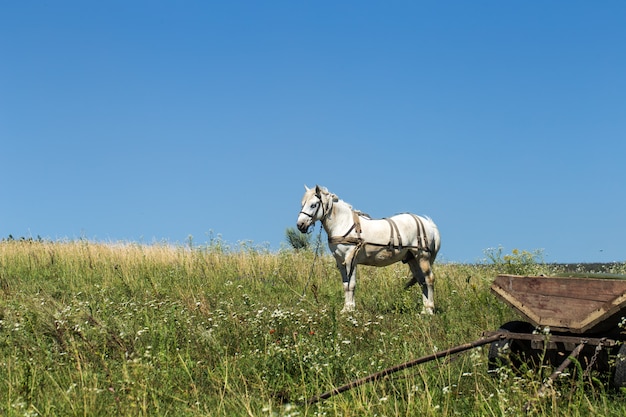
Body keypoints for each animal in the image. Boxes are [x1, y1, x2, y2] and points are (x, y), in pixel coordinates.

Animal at [296, 184, 438, 312]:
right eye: (302, 204)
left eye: (313, 205)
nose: (300, 225)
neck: (344, 223)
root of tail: (428, 223)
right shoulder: (340, 262)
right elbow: (345, 285)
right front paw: (345, 309)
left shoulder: (351, 259)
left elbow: (351, 285)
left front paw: (350, 308)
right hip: (412, 259)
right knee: (422, 281)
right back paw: (424, 310)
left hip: (422, 257)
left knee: (429, 279)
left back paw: (430, 309)